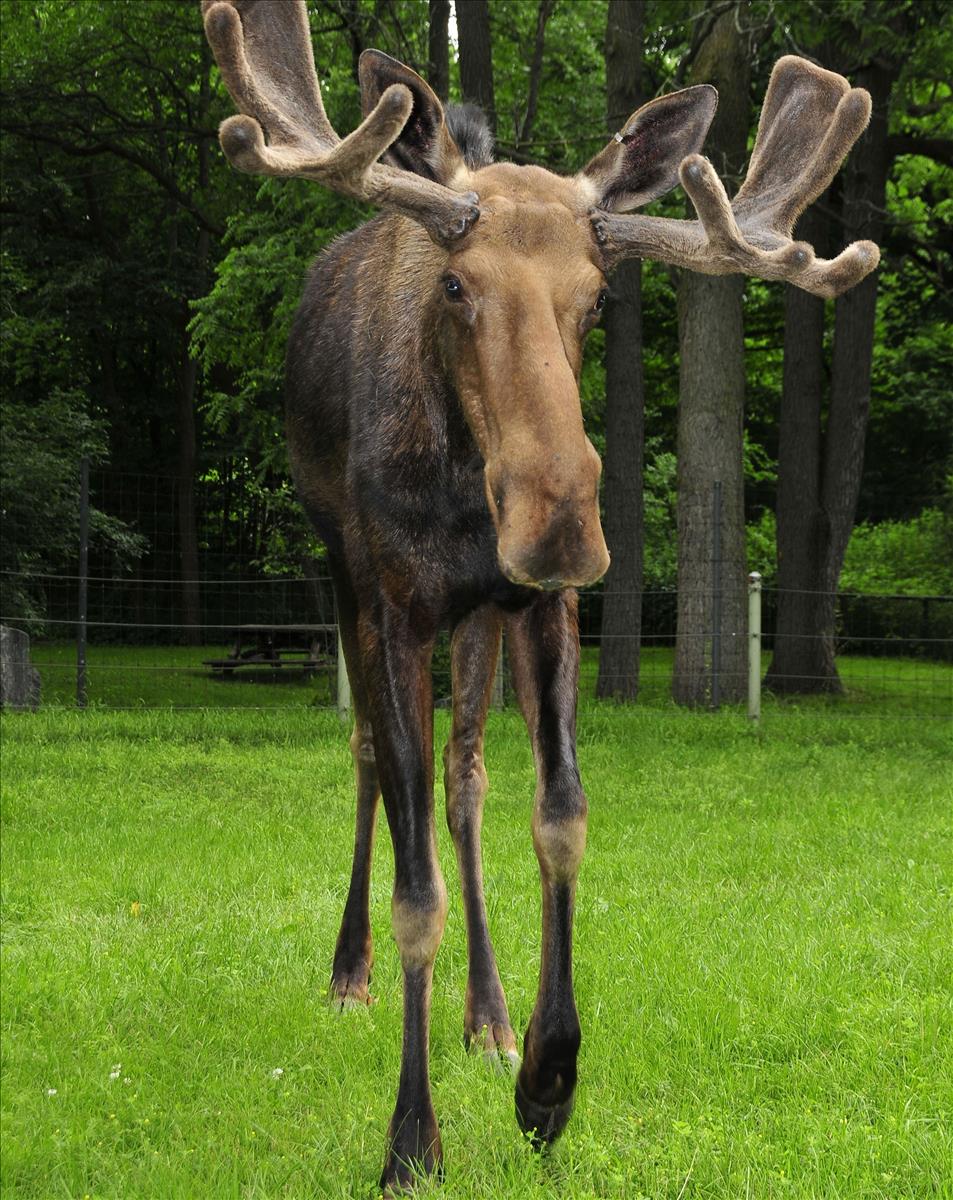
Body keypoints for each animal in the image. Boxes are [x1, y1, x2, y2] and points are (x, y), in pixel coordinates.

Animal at [200, 2, 878, 1190]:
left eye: (596, 297)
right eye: (454, 283)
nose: (559, 523)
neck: (461, 495)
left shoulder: (540, 609)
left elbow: (557, 818)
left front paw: (548, 1077)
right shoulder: (395, 601)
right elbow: (413, 886)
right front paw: (409, 1140)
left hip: (477, 621)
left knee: (466, 776)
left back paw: (487, 1014)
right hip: (343, 575)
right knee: (372, 761)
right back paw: (348, 972)